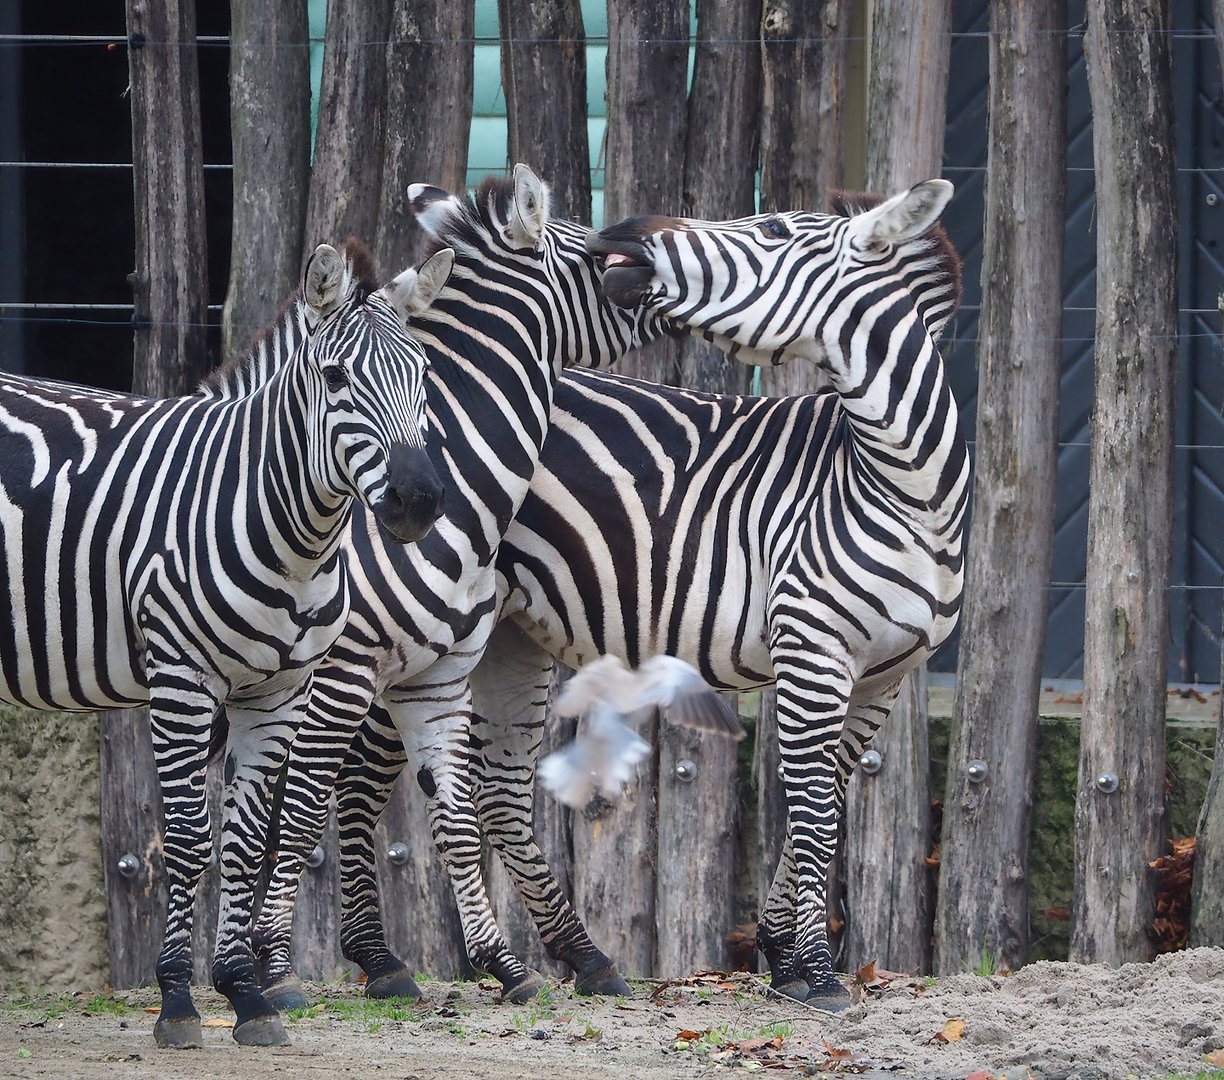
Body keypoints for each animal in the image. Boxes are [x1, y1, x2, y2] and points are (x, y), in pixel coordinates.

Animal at [0, 240, 449, 1047]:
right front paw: (178, 1000)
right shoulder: (182, 677)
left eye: (424, 377)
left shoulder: (278, 691)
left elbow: (246, 840)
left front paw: (244, 993)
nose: (418, 501)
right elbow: (187, 837)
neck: (290, 534)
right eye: (335, 378)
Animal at [246, 164, 670, 1012]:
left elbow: (455, 815)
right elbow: (300, 808)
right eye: (599, 255)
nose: (657, 263)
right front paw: (271, 969)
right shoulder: (339, 671)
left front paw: (501, 963)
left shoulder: (435, 672)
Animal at [281, 180, 967, 1011]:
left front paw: (781, 953)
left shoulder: (885, 674)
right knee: (364, 777)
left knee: (494, 789)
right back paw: (383, 959)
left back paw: (575, 957)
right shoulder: (812, 649)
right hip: (408, 634)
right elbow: (810, 810)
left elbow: (829, 795)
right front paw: (816, 969)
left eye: (774, 228)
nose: (631, 234)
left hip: (504, 636)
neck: (903, 483)